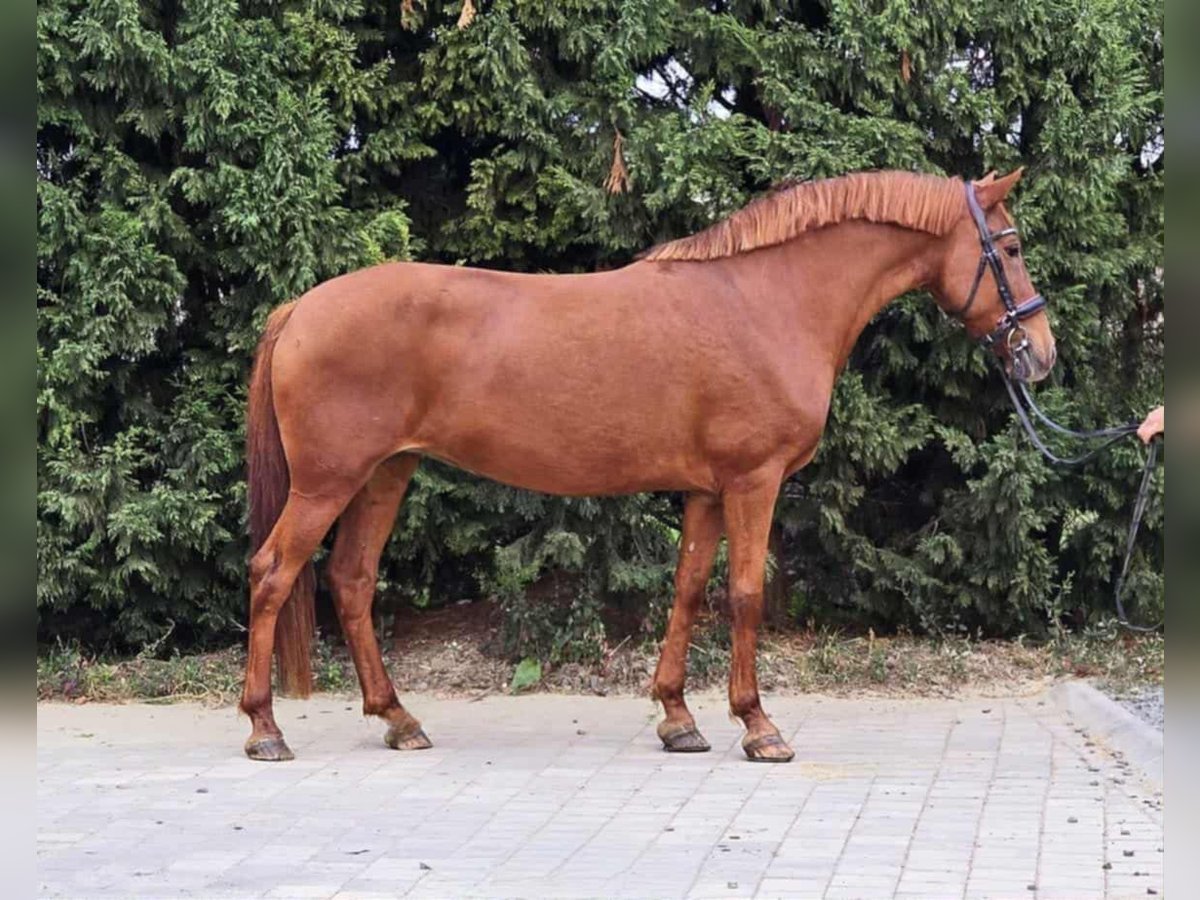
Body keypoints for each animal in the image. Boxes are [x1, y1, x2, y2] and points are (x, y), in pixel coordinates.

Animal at [239, 168, 1055, 763]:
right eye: (1011, 248)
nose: (1041, 354)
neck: (769, 300)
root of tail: (299, 309)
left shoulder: (707, 491)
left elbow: (689, 591)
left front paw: (678, 718)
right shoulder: (753, 482)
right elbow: (746, 595)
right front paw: (759, 727)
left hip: (387, 473)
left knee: (351, 580)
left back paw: (399, 719)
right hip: (328, 482)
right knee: (274, 573)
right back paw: (265, 728)